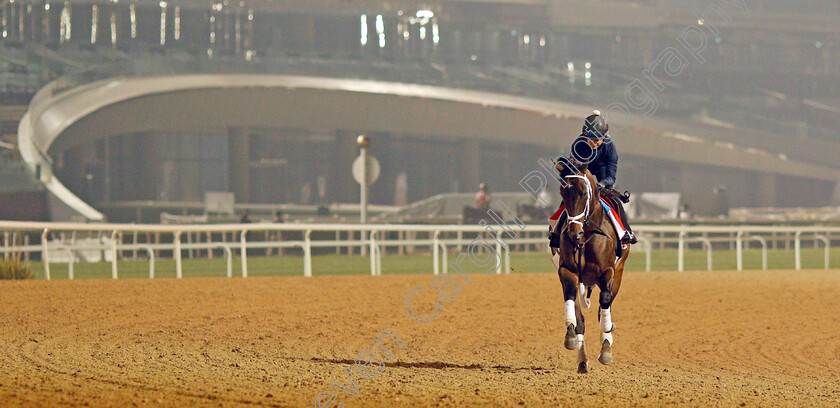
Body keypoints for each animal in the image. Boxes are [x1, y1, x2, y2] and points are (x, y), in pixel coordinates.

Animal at [552, 158, 632, 374]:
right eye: (563, 193)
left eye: (583, 193)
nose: (574, 233)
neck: (587, 236)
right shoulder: (567, 270)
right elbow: (572, 302)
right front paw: (571, 335)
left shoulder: (609, 272)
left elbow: (604, 302)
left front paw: (606, 346)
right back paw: (582, 360)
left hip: (619, 273)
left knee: (604, 306)